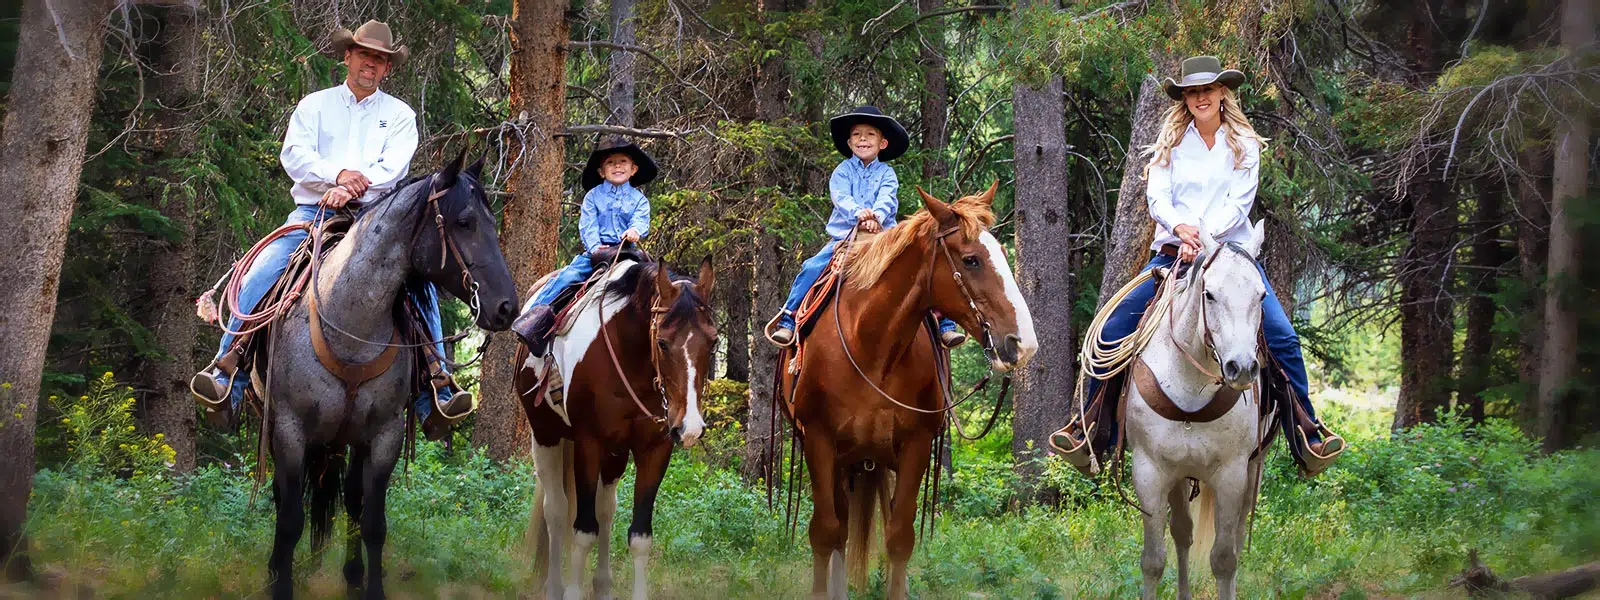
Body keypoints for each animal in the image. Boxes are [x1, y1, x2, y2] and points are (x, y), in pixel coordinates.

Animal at [515, 259, 716, 600]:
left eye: (713, 342)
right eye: (662, 342)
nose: (689, 427)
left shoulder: (654, 449)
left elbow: (639, 536)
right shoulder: (588, 443)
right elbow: (583, 530)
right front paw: (572, 592)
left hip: (615, 453)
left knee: (605, 510)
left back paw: (602, 587)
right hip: (545, 436)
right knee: (556, 509)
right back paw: (554, 586)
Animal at [780, 183, 1043, 600]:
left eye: (1003, 254)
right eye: (971, 260)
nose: (1023, 343)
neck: (869, 343)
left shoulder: (916, 444)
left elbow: (900, 536)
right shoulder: (818, 441)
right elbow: (824, 533)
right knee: (837, 528)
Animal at [1126, 220, 1273, 600]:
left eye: (1261, 296)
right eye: (1210, 294)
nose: (1242, 368)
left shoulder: (1232, 474)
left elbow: (1224, 559)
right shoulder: (1149, 472)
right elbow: (1152, 560)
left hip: (1252, 469)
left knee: (1234, 538)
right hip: (1179, 476)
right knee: (1183, 533)